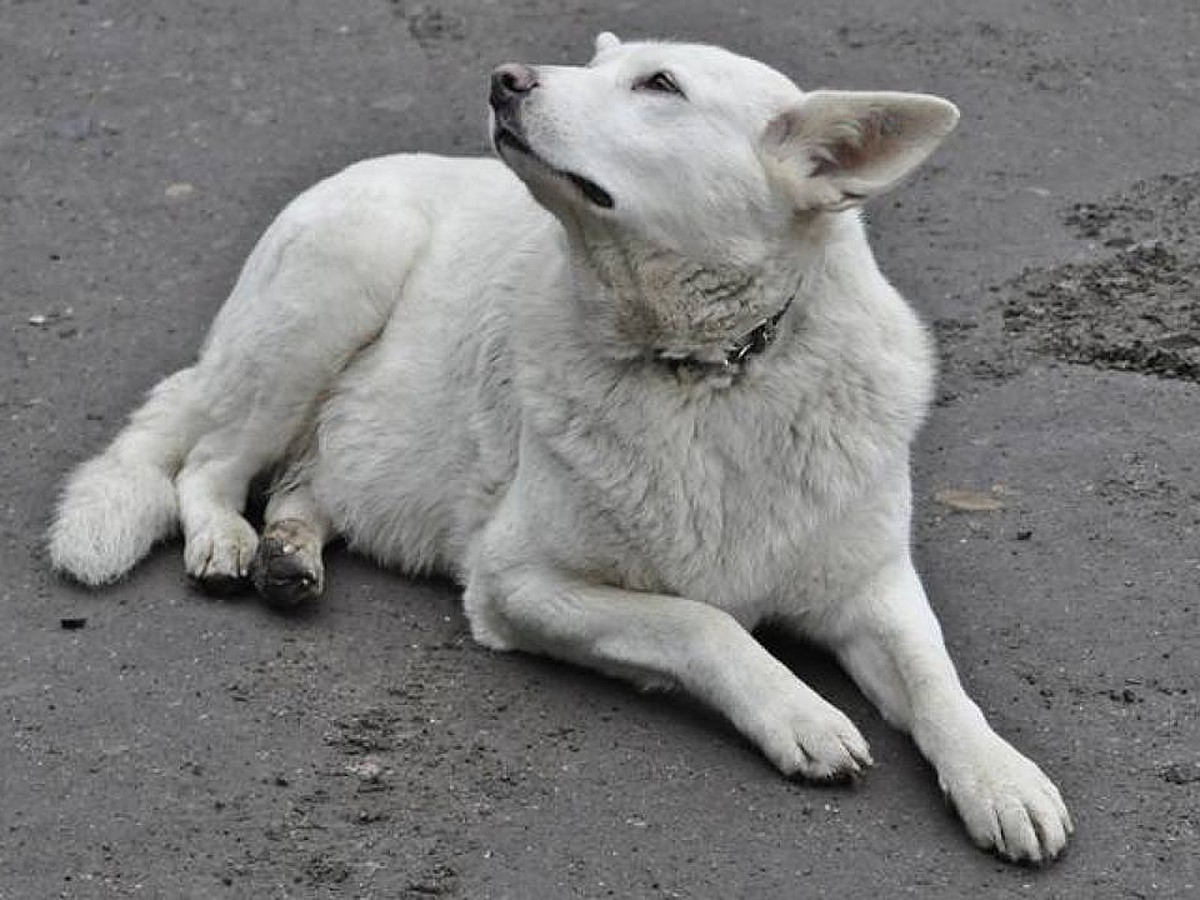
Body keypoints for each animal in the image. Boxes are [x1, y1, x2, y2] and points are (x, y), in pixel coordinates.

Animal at [51, 31, 1075, 864]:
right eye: (598, 62)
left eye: (658, 84)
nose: (504, 78)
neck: (710, 371)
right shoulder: (516, 584)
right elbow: (701, 623)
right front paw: (800, 711)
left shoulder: (872, 587)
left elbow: (939, 681)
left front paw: (1001, 777)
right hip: (334, 286)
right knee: (207, 460)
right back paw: (226, 540)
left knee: (301, 484)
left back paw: (289, 553)